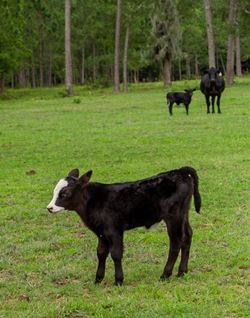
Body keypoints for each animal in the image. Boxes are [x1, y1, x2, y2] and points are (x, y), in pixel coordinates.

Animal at [47, 166, 202, 286]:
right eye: (55, 191)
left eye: (65, 193)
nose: (50, 208)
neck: (93, 201)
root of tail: (179, 171)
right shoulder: (101, 233)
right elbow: (101, 253)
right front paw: (98, 279)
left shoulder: (114, 230)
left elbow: (116, 254)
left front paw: (118, 280)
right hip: (183, 214)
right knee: (187, 236)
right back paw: (182, 272)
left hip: (173, 217)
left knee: (176, 242)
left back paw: (165, 274)